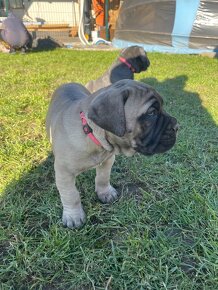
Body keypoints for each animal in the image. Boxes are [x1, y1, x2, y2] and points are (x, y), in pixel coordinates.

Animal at [46, 79, 177, 229]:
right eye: (152, 113)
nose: (177, 126)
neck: (91, 134)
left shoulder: (108, 160)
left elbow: (103, 177)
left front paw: (105, 193)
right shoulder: (64, 172)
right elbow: (71, 195)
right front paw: (73, 216)